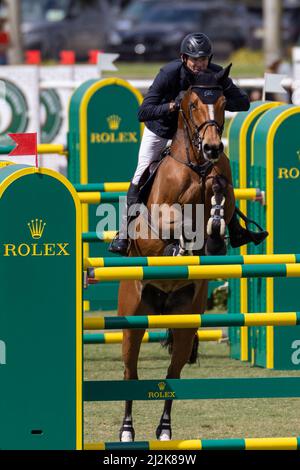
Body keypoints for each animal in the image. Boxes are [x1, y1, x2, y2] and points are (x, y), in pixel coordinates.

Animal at [117, 64, 237, 442]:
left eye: (224, 102)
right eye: (193, 103)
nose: (213, 147)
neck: (195, 164)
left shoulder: (221, 186)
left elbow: (218, 196)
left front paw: (213, 235)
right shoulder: (156, 222)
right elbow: (173, 226)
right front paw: (181, 243)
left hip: (185, 323)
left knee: (173, 374)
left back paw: (165, 429)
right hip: (132, 319)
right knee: (130, 373)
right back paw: (127, 430)